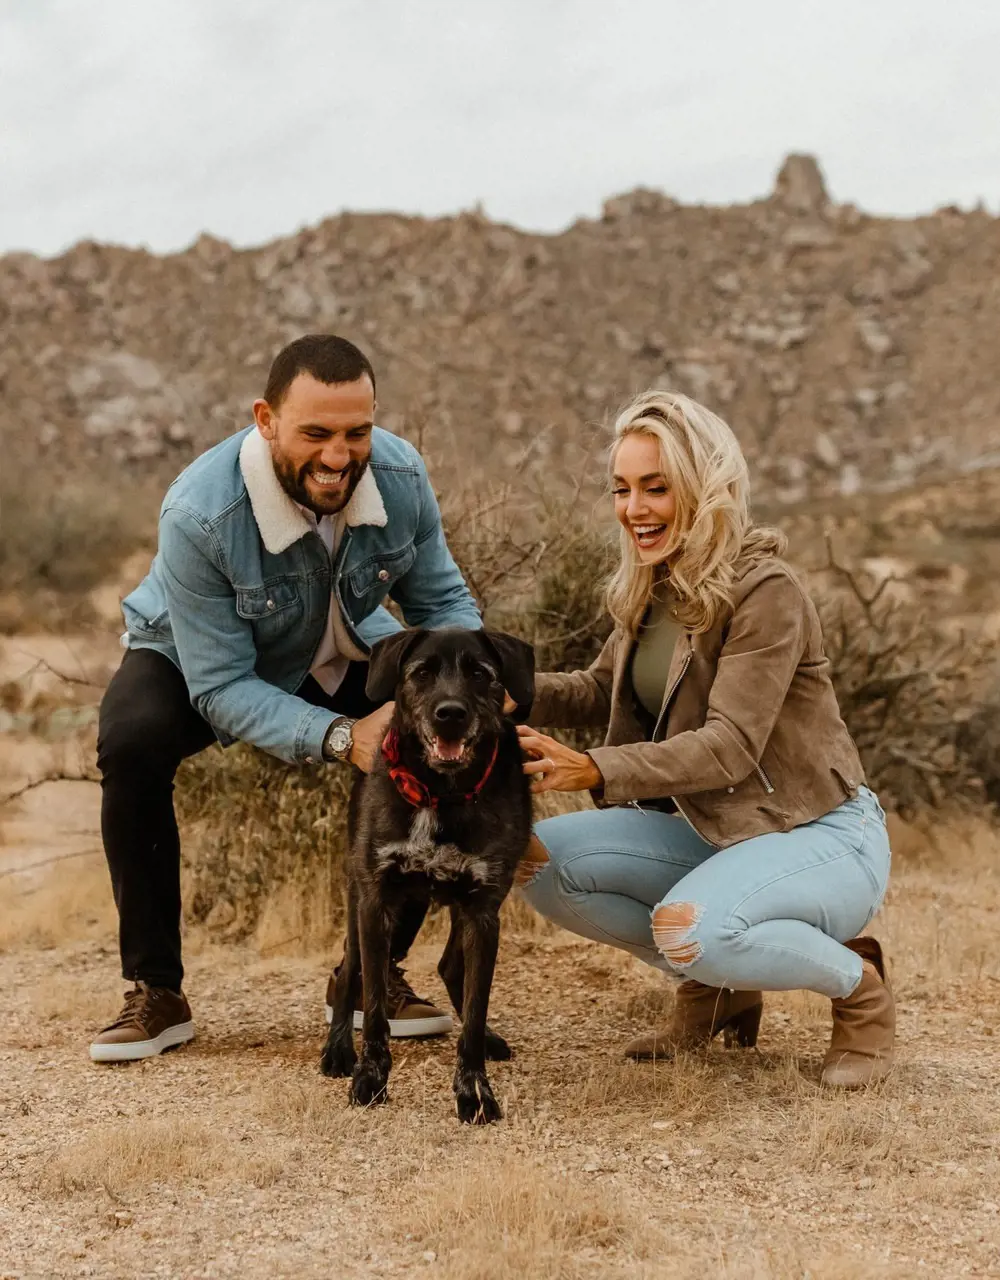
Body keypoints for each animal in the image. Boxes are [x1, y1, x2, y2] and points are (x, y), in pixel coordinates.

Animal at [323, 627, 535, 1121]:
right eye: (421, 673)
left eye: (480, 673)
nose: (450, 714)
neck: (441, 794)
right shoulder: (376, 901)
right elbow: (374, 1008)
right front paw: (369, 1080)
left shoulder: (483, 910)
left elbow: (475, 1012)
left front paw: (474, 1091)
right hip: (365, 899)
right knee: (347, 971)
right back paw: (338, 1051)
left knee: (451, 967)